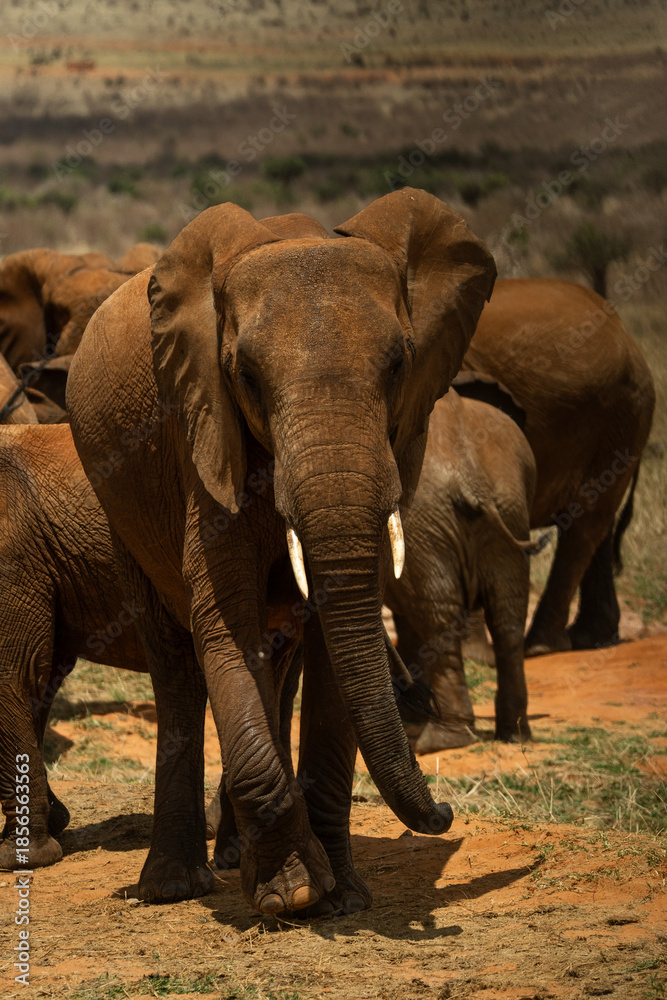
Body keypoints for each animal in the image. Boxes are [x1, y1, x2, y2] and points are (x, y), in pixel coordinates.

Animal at [66, 190, 496, 916]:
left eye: (400, 364)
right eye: (244, 375)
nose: (444, 813)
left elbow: (330, 647)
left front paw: (339, 898)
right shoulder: (203, 436)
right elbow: (222, 621)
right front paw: (293, 893)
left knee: (276, 660)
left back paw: (237, 859)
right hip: (116, 492)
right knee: (176, 661)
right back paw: (176, 886)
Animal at [383, 382, 537, 754]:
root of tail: (472, 477)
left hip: (425, 523)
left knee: (438, 620)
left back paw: (440, 741)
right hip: (511, 509)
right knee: (508, 620)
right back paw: (514, 733)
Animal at [461, 278, 655, 656]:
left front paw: (471, 658)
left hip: (624, 413)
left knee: (584, 524)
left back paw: (540, 647)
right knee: (598, 522)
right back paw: (591, 639)